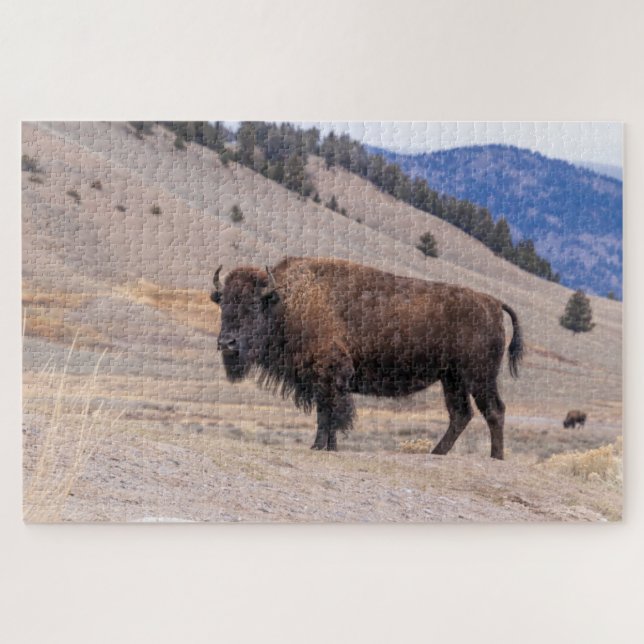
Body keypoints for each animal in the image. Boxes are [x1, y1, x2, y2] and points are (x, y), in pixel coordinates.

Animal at [211, 257, 523, 459]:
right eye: (223, 303)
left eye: (254, 305)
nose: (226, 343)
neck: (286, 302)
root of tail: (493, 303)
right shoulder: (322, 379)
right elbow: (327, 412)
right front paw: (325, 446)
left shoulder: (330, 374)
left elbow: (330, 412)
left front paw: (322, 446)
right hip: (452, 378)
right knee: (461, 414)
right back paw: (437, 453)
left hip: (478, 377)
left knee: (493, 410)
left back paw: (495, 457)